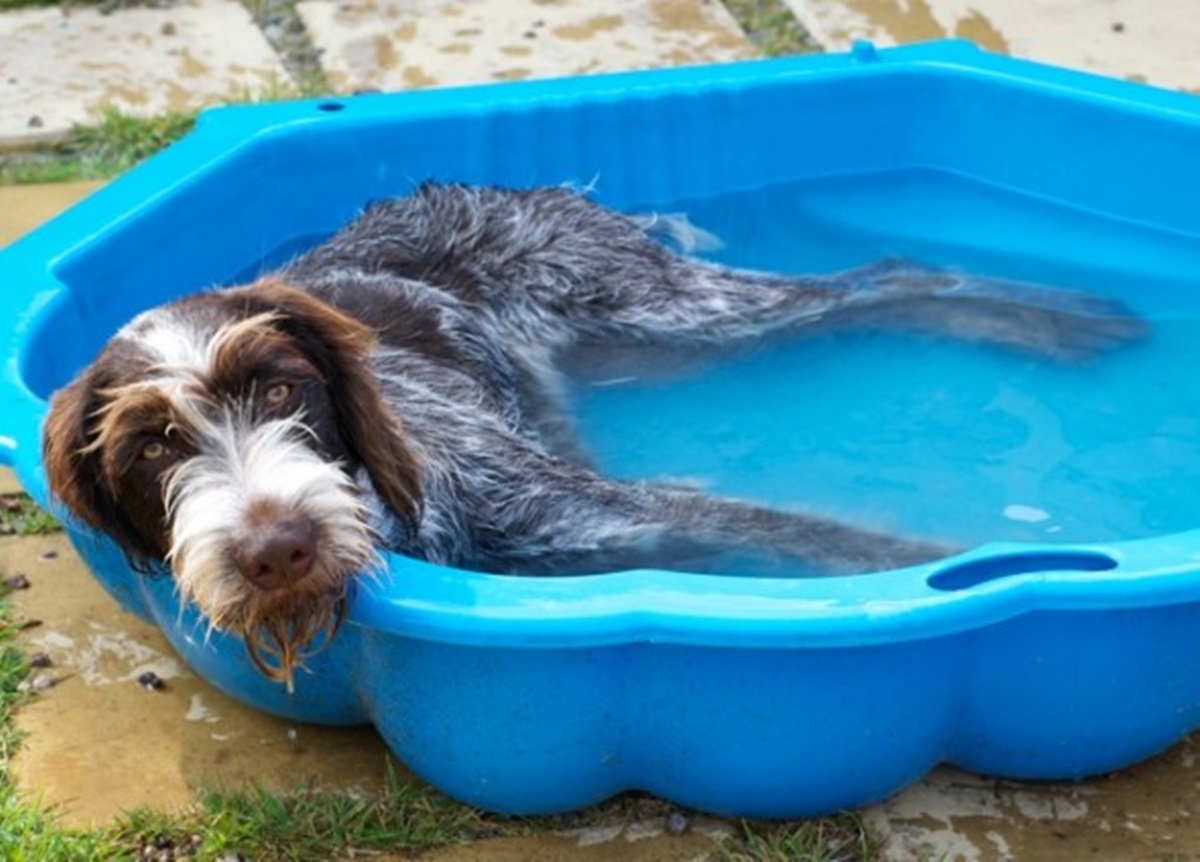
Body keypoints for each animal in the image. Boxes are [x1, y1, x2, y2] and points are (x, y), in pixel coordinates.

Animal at [39, 186, 1142, 686]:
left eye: (282, 389)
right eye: (150, 450)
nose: (277, 547)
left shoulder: (628, 511)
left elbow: (857, 547)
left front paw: (986, 565)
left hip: (671, 312)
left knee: (887, 273)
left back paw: (1051, 320)